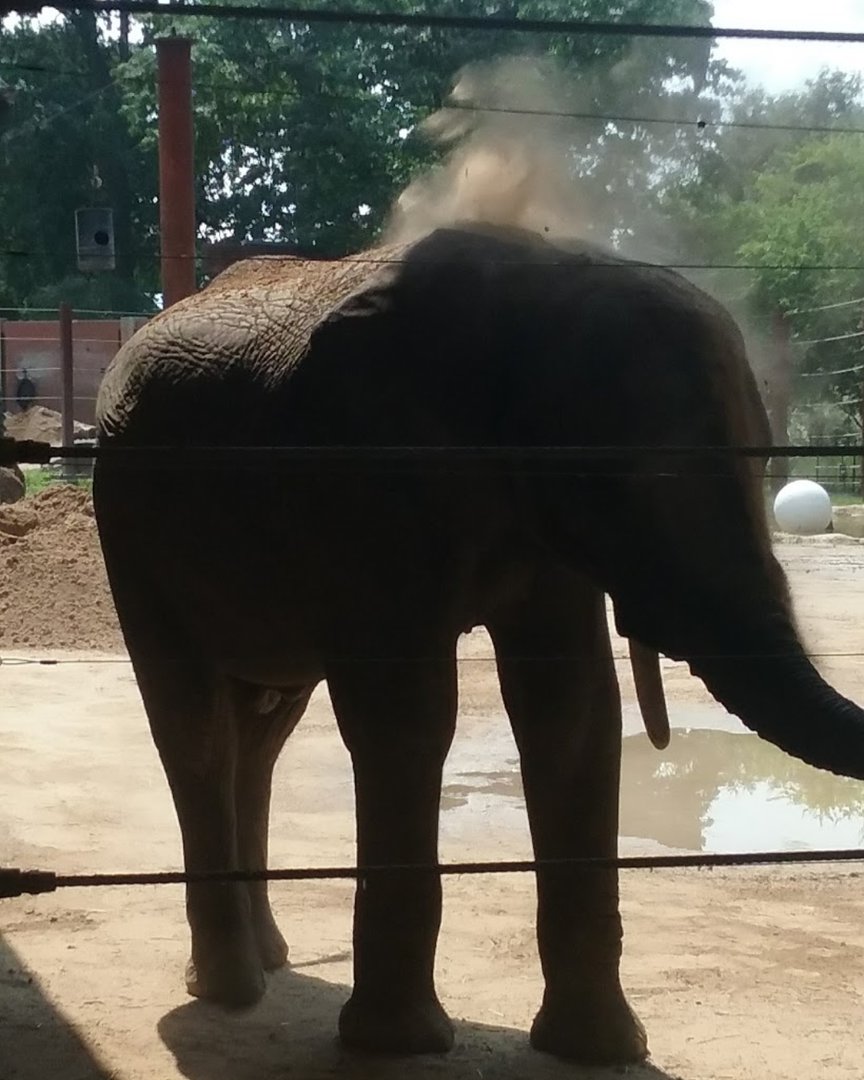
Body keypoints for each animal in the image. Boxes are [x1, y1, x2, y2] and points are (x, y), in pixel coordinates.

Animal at [93, 221, 864, 1065]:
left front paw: (600, 1052)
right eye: (610, 479)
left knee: (261, 734)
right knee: (197, 731)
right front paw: (401, 1048)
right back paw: (232, 990)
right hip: (127, 523)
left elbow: (572, 712)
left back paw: (269, 960)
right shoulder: (367, 480)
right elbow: (408, 716)